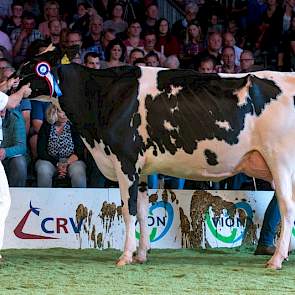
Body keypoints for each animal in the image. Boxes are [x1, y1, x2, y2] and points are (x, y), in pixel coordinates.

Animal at [27, 63, 295, 270]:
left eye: (28, 68)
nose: (14, 82)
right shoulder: (142, 172)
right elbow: (143, 211)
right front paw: (141, 254)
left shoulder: (125, 162)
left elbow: (128, 210)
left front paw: (125, 256)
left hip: (280, 161)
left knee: (287, 207)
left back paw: (276, 260)